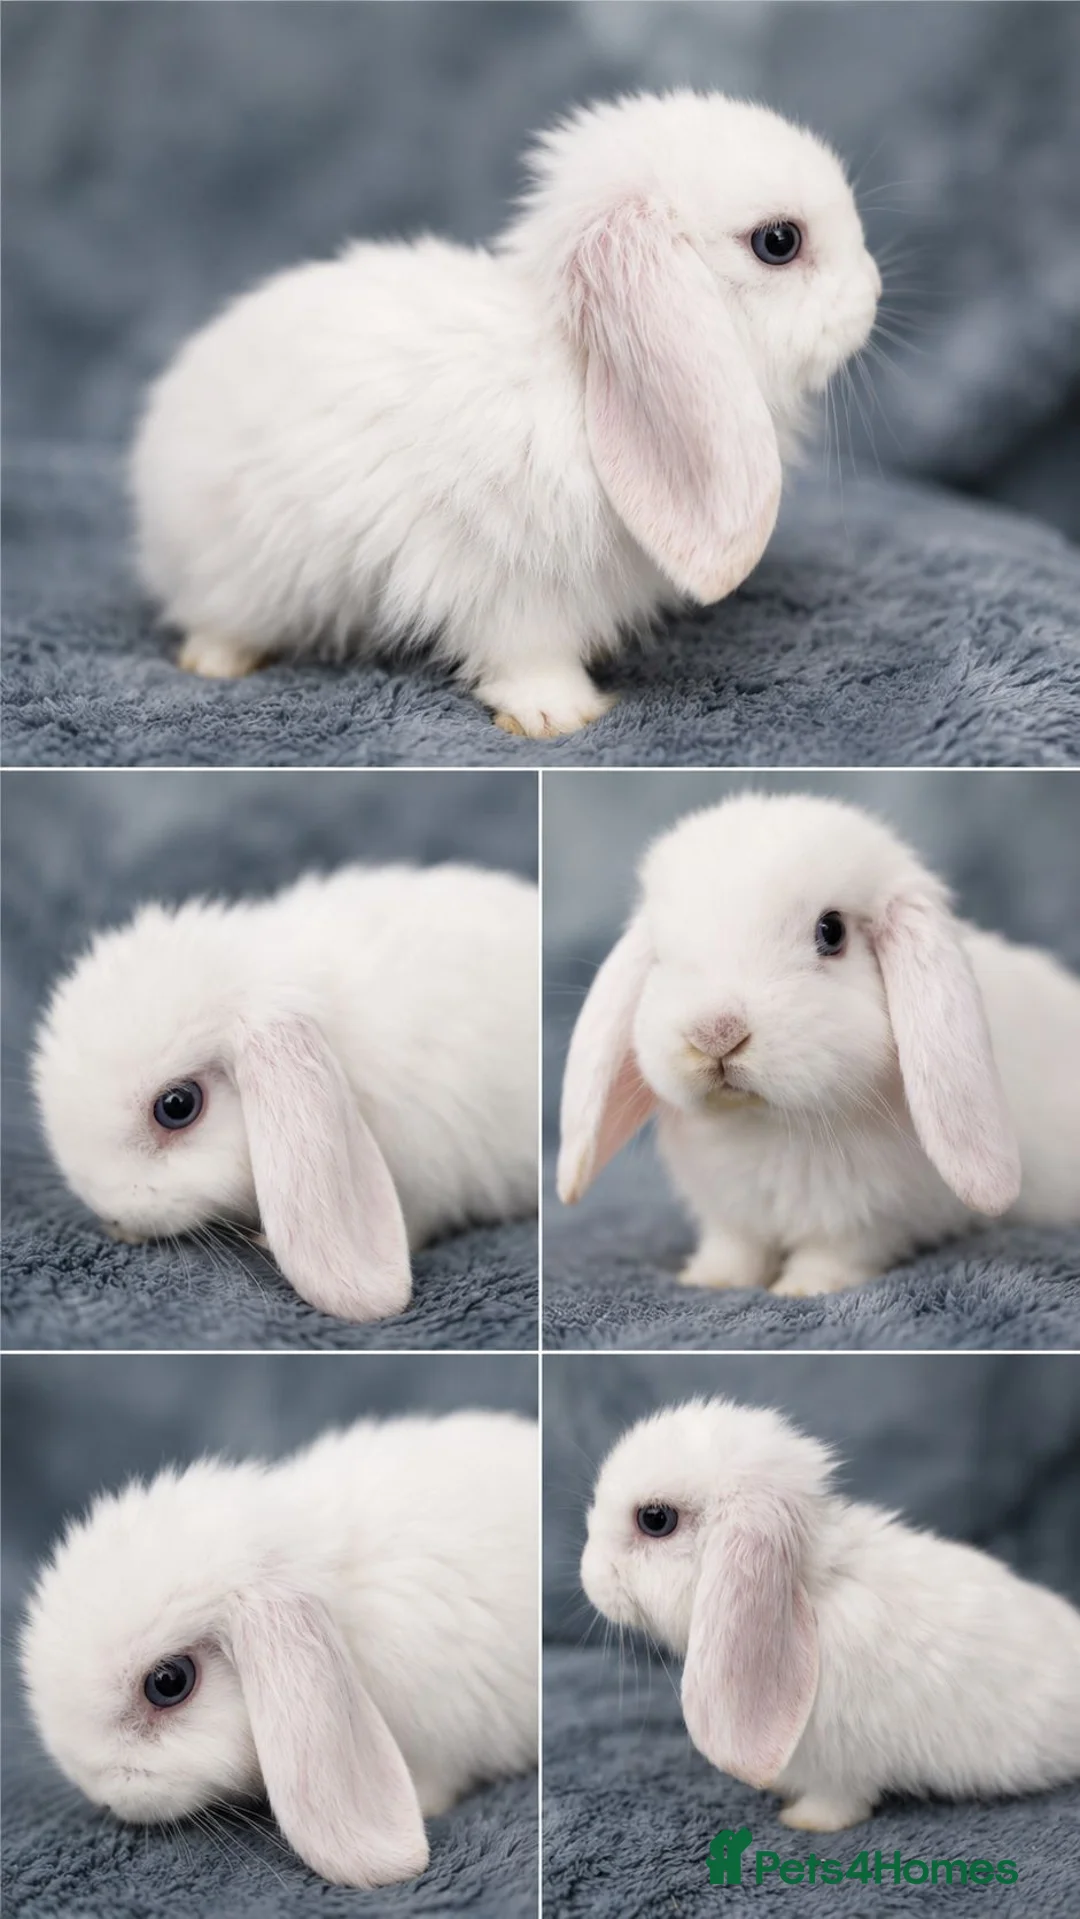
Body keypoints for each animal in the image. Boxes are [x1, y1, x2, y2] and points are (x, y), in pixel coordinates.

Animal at [131, 90, 880, 739]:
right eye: (778, 242)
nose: (873, 291)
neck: (583, 374)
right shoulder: (507, 581)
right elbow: (526, 652)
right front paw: (560, 715)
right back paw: (218, 662)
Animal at [557, 791, 1080, 1295]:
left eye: (831, 931)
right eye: (661, 954)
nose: (715, 1033)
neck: (768, 1127)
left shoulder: (871, 1218)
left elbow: (834, 1254)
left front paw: (802, 1289)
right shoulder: (732, 1216)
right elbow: (734, 1247)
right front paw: (711, 1280)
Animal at [582, 1396, 1080, 1831]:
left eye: (655, 1520)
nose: (588, 1577)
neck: (810, 1593)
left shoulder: (843, 1766)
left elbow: (838, 1801)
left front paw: (804, 1821)